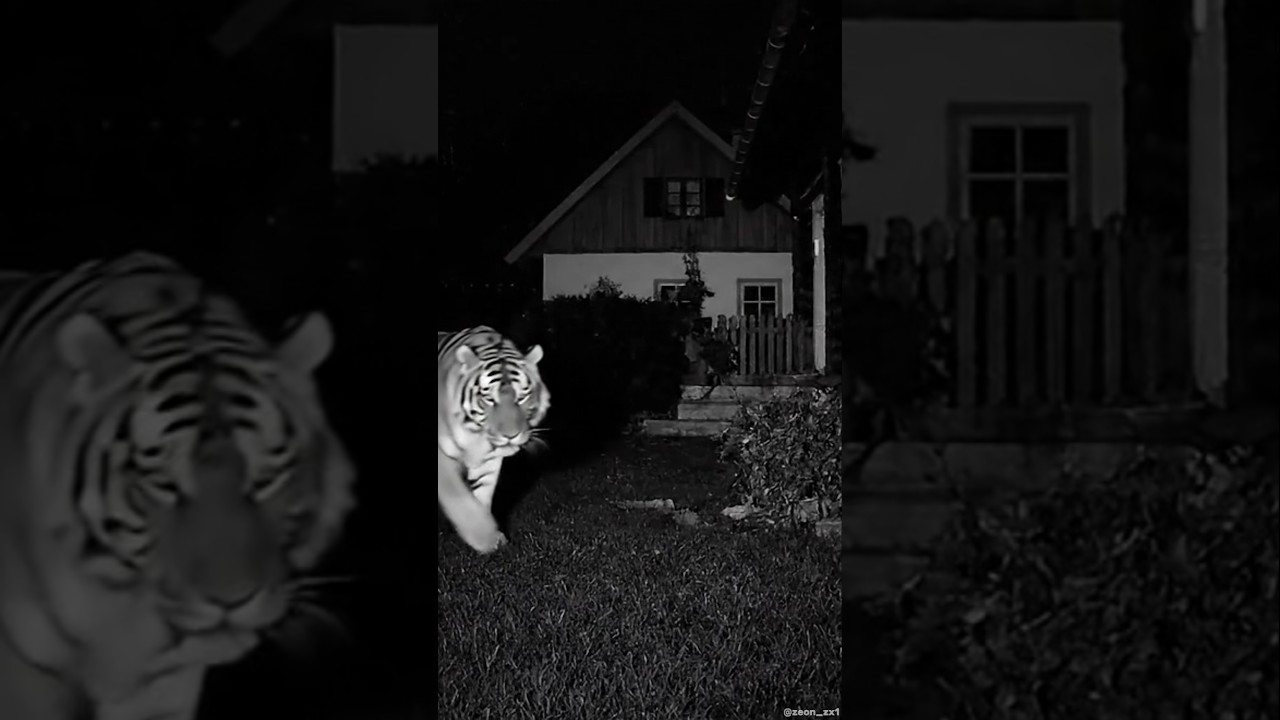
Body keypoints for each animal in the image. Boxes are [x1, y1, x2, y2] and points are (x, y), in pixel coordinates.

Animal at [438, 326, 549, 554]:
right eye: (489, 399)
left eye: (522, 397)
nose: (511, 435)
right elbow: (458, 497)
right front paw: (485, 537)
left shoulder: (489, 463)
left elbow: (481, 496)